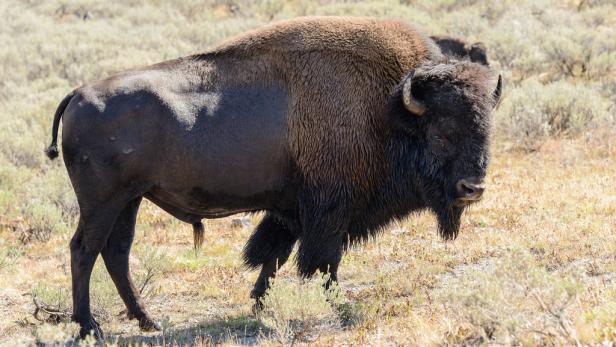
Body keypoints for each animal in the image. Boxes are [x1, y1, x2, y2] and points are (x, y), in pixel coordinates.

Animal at [47, 16, 500, 340]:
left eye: (486, 130)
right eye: (440, 134)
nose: (472, 189)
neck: (389, 109)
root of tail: (78, 94)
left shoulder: (292, 211)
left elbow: (273, 256)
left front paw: (258, 304)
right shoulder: (329, 213)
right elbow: (324, 263)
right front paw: (339, 306)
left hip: (130, 200)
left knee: (116, 253)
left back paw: (148, 321)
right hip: (103, 202)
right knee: (84, 250)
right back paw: (89, 326)